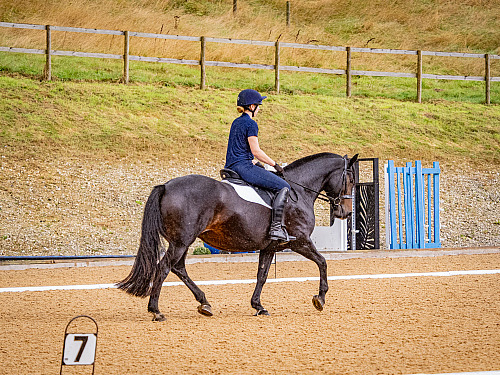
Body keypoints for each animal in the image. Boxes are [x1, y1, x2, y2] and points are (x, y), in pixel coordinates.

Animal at [118, 151, 358, 322]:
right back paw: (156, 311)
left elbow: (262, 275)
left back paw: (204, 303)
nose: (345, 213)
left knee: (178, 268)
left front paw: (258, 306)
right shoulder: (300, 241)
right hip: (181, 241)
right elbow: (323, 262)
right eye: (351, 180)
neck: (300, 191)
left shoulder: (269, 247)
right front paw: (320, 298)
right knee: (164, 267)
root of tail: (166, 186)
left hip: (183, 241)